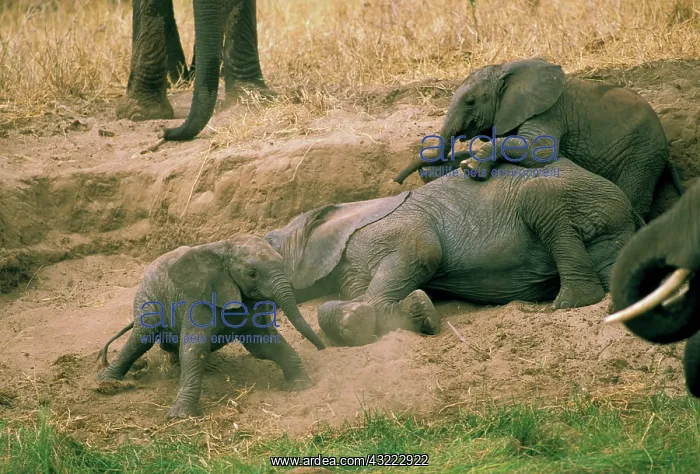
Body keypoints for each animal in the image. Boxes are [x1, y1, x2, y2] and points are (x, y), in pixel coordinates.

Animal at [96, 234, 325, 419]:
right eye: (252, 274)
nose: (321, 348)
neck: (224, 250)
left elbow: (264, 344)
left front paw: (302, 385)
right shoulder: (197, 299)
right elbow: (194, 349)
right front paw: (180, 417)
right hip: (147, 296)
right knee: (142, 336)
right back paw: (106, 383)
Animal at [264, 156, 644, 347]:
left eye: (267, 242)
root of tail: (632, 212)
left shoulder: (387, 229)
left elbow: (423, 250)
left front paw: (375, 317)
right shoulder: (349, 267)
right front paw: (410, 313)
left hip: (577, 196)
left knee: (541, 201)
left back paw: (569, 302)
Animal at [393, 58, 684, 219]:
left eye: (471, 101)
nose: (396, 180)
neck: (508, 73)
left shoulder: (549, 112)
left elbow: (539, 152)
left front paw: (471, 169)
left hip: (642, 156)